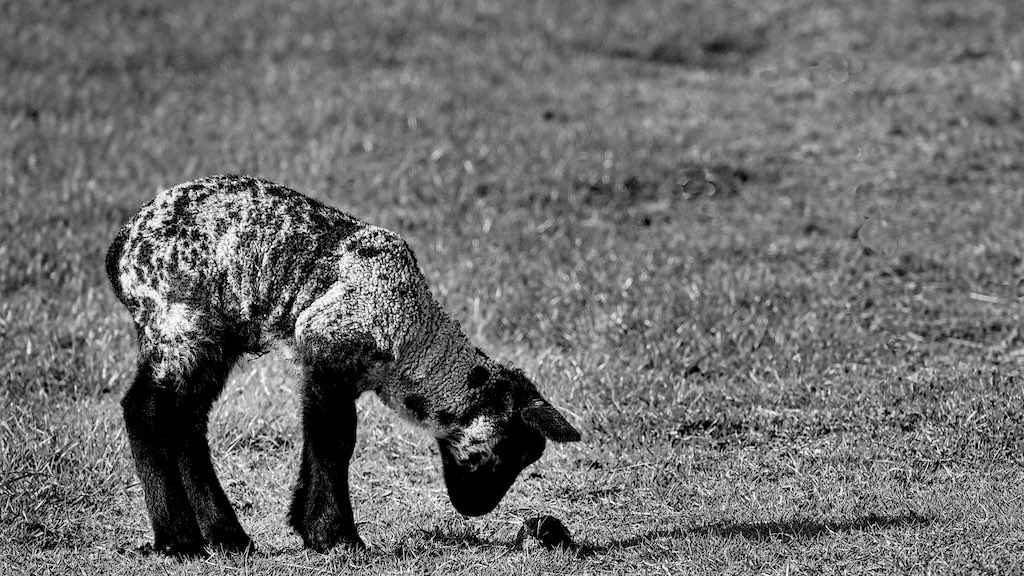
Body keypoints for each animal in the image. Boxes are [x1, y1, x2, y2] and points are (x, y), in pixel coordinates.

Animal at [105, 175, 581, 557]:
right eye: (511, 451)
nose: (476, 509)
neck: (415, 340)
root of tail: (120, 249)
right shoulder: (328, 352)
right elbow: (335, 440)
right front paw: (337, 536)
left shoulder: (325, 371)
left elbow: (316, 438)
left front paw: (306, 525)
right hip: (178, 321)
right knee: (146, 412)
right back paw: (179, 541)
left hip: (213, 337)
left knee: (188, 422)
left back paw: (228, 538)